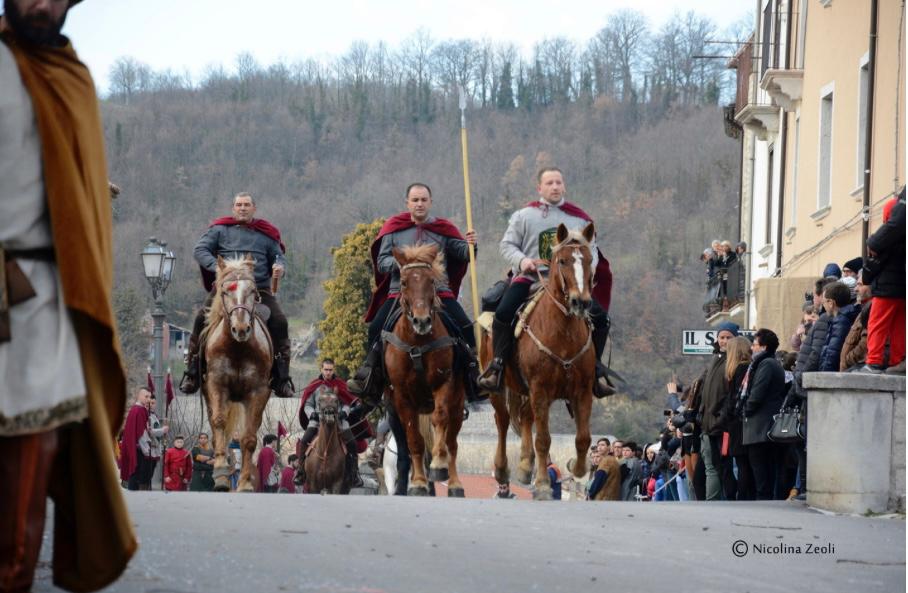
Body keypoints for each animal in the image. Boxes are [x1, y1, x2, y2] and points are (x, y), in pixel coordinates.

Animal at [199, 254, 270, 490]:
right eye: (225, 292)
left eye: (253, 291)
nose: (241, 329)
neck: (237, 348)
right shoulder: (216, 384)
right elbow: (220, 422)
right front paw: (221, 474)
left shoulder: (258, 393)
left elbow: (249, 438)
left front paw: (246, 483)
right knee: (215, 431)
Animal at [384, 243, 468, 498]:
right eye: (403, 282)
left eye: (431, 281)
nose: (422, 321)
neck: (418, 343)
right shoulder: (401, 396)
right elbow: (414, 440)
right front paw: (418, 483)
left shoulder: (444, 384)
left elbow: (440, 421)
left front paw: (438, 467)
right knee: (404, 447)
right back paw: (404, 485)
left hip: (457, 403)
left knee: (452, 441)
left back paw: (455, 484)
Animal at [478, 222, 600, 500]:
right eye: (563, 260)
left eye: (589, 260)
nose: (580, 302)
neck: (563, 333)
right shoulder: (540, 389)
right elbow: (543, 438)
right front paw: (544, 484)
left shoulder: (582, 391)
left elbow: (583, 438)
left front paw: (579, 468)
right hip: (499, 388)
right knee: (503, 421)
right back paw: (503, 470)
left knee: (526, 417)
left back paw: (525, 465)